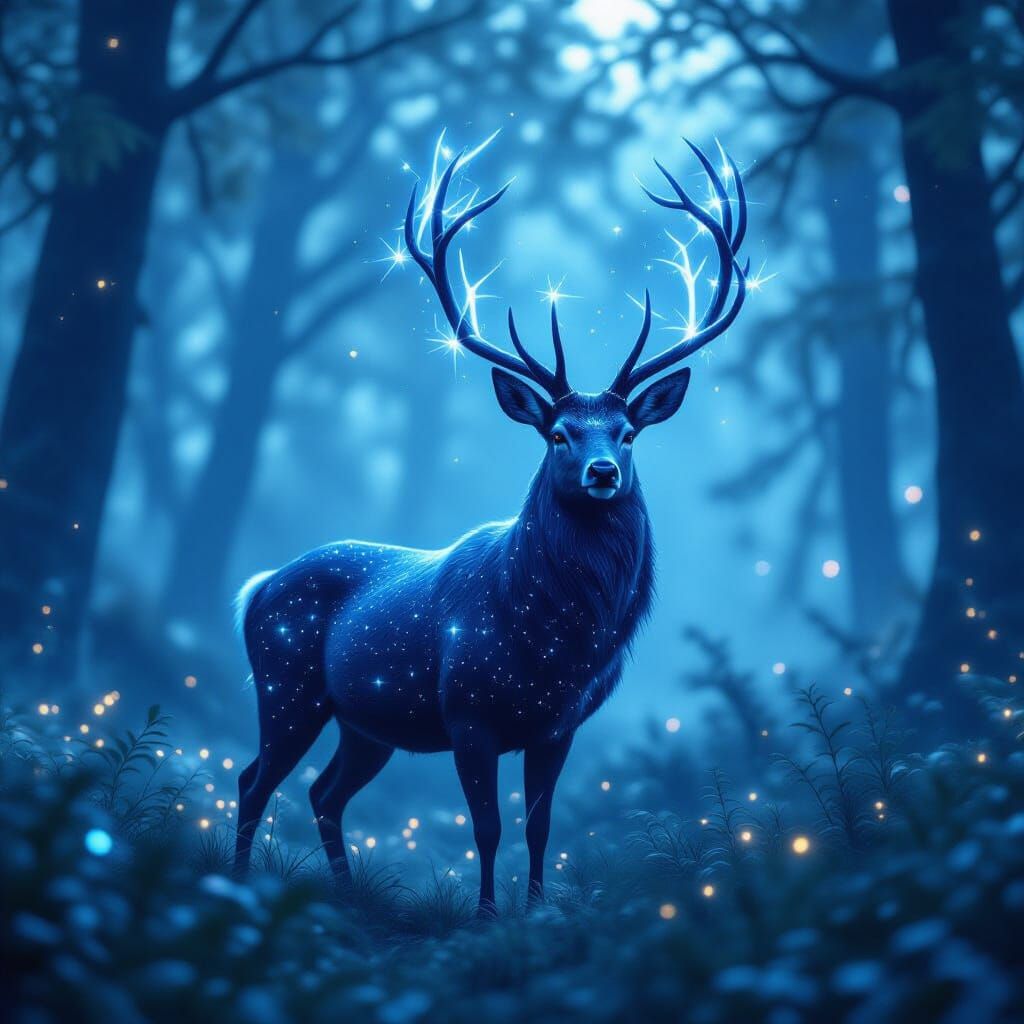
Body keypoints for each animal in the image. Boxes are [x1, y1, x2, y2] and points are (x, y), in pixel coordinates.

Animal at [232, 139, 750, 916]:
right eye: (559, 434)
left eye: (627, 433)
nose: (603, 472)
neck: (555, 641)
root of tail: (256, 587)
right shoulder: (467, 713)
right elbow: (487, 827)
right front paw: (483, 917)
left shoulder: (559, 725)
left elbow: (540, 828)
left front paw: (535, 912)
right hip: (286, 683)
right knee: (254, 779)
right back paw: (234, 881)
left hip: (364, 720)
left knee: (324, 792)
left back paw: (348, 895)